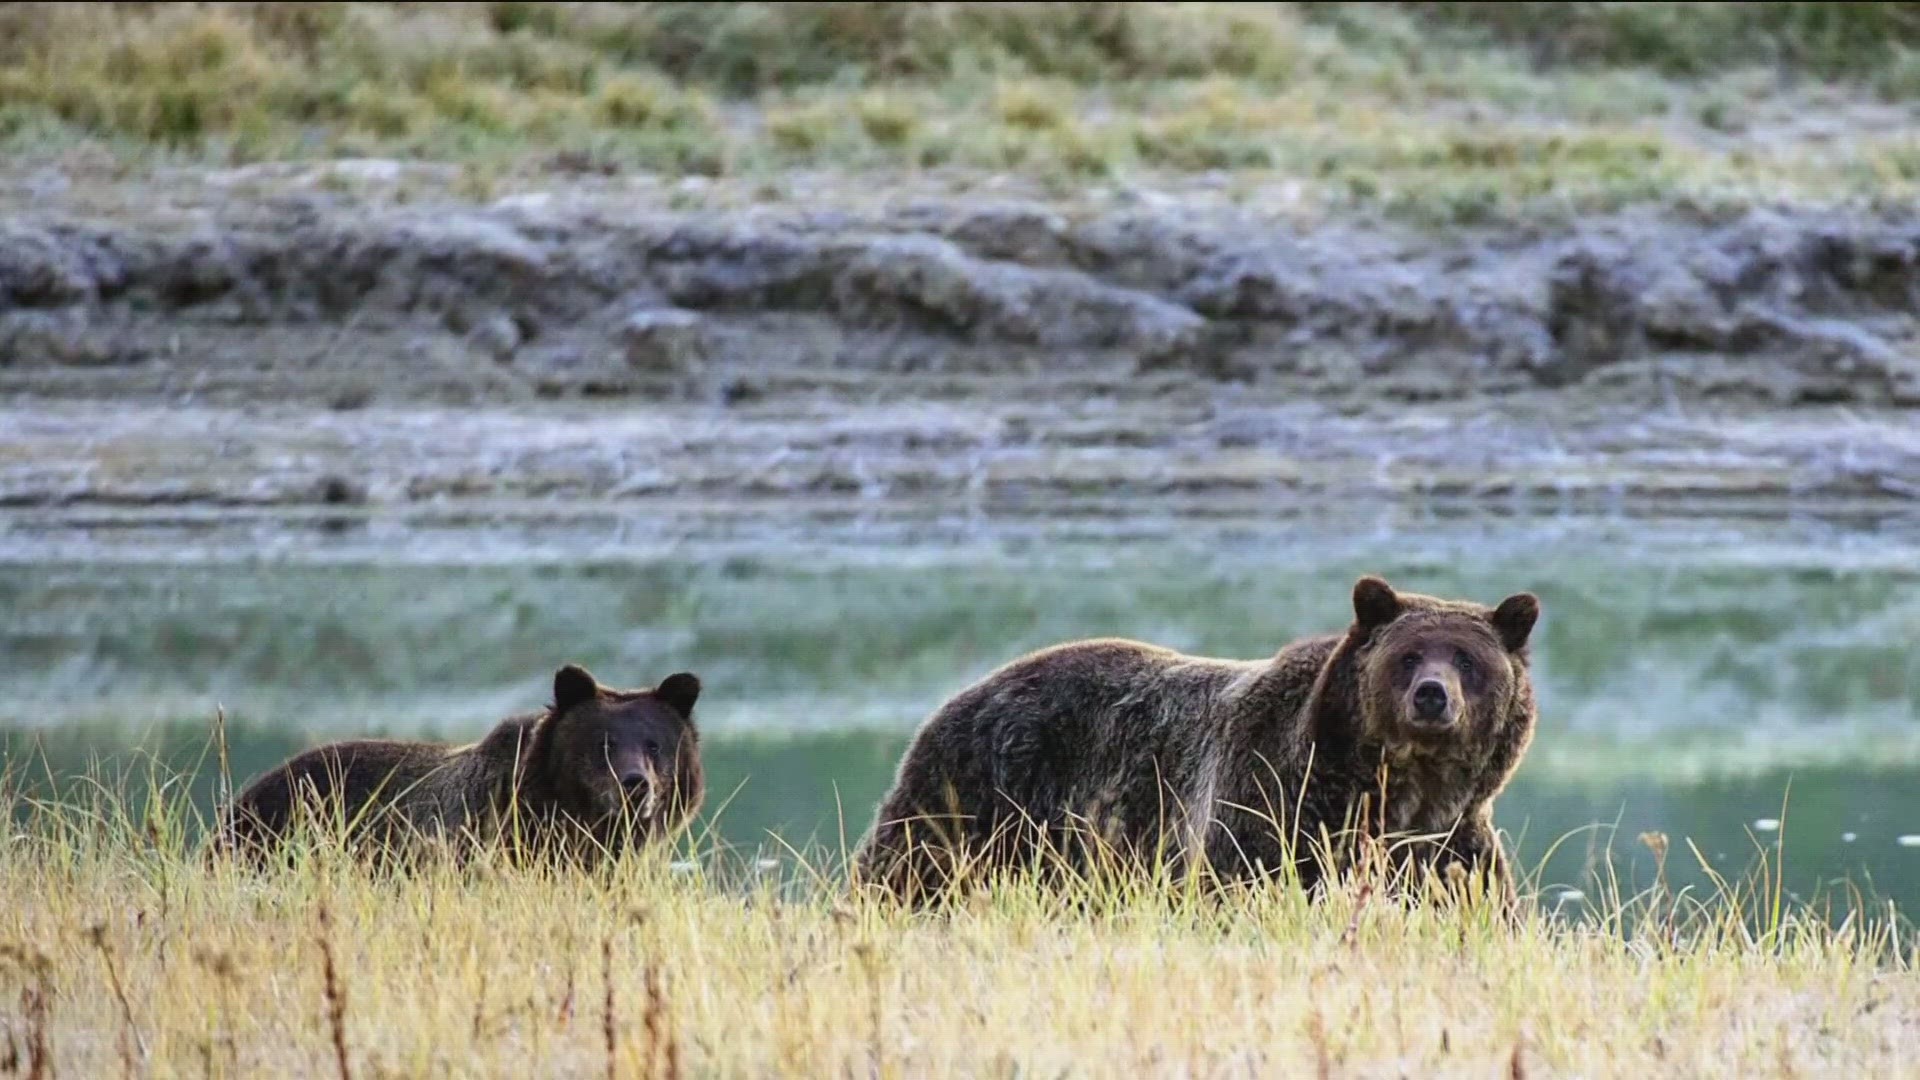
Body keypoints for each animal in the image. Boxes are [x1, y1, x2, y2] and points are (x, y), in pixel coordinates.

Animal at [856, 576, 1543, 903]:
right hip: (977, 796)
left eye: (1467, 659)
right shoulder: (1271, 807)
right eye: (1409, 655)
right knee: (907, 871)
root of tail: (962, 694)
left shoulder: (1450, 845)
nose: (1432, 695)